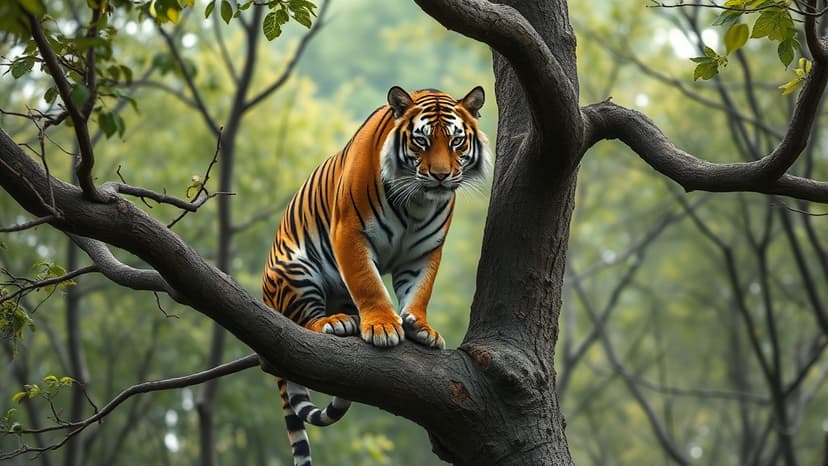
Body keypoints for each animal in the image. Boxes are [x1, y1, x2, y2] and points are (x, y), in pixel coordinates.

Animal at [262, 85, 490, 466]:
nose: (441, 175)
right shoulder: (349, 232)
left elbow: (420, 289)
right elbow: (368, 283)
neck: (418, 202)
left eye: (456, 141)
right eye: (421, 141)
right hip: (298, 271)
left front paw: (422, 328)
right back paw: (335, 323)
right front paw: (384, 327)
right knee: (303, 322)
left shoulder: (425, 250)